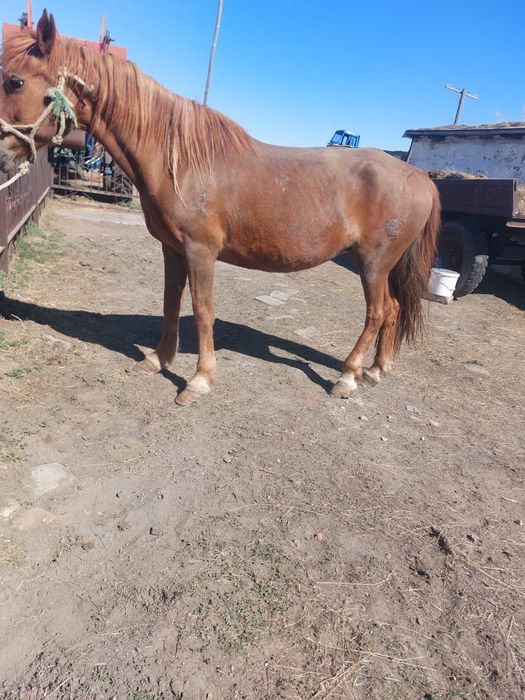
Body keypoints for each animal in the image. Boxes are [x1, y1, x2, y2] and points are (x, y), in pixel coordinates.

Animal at [0, 10, 440, 406]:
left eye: (15, 80)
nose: (2, 155)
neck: (179, 161)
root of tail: (419, 177)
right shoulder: (172, 249)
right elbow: (171, 303)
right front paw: (158, 360)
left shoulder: (201, 251)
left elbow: (203, 310)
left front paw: (198, 381)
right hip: (383, 266)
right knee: (394, 309)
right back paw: (375, 370)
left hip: (373, 262)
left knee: (378, 312)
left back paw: (347, 377)